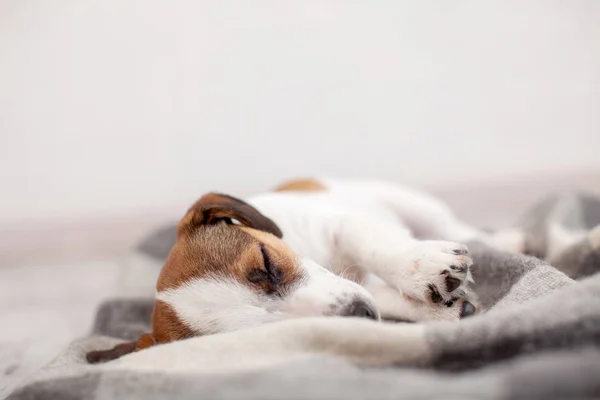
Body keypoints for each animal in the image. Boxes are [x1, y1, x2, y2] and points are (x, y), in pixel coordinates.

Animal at [85, 178, 496, 362]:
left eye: (266, 263)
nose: (360, 314)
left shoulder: (339, 225)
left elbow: (375, 245)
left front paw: (423, 267)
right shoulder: (363, 287)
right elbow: (386, 297)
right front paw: (439, 312)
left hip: (407, 202)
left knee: (463, 229)